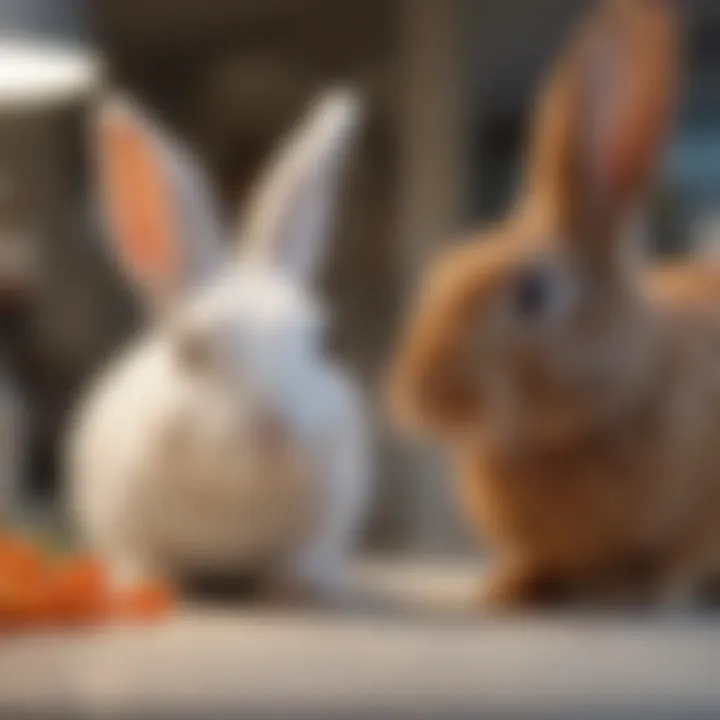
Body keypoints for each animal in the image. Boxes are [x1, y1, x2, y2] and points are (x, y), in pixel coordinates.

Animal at [66, 90, 372, 600]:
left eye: (317, 339)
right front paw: (145, 583)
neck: (237, 496)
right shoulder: (120, 514)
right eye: (192, 350)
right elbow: (139, 553)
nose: (277, 431)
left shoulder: (330, 510)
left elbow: (302, 555)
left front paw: (299, 585)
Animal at [390, 0, 720, 612]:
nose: (417, 397)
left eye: (533, 292)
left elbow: (677, 556)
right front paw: (512, 587)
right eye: (447, 265)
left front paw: (634, 589)